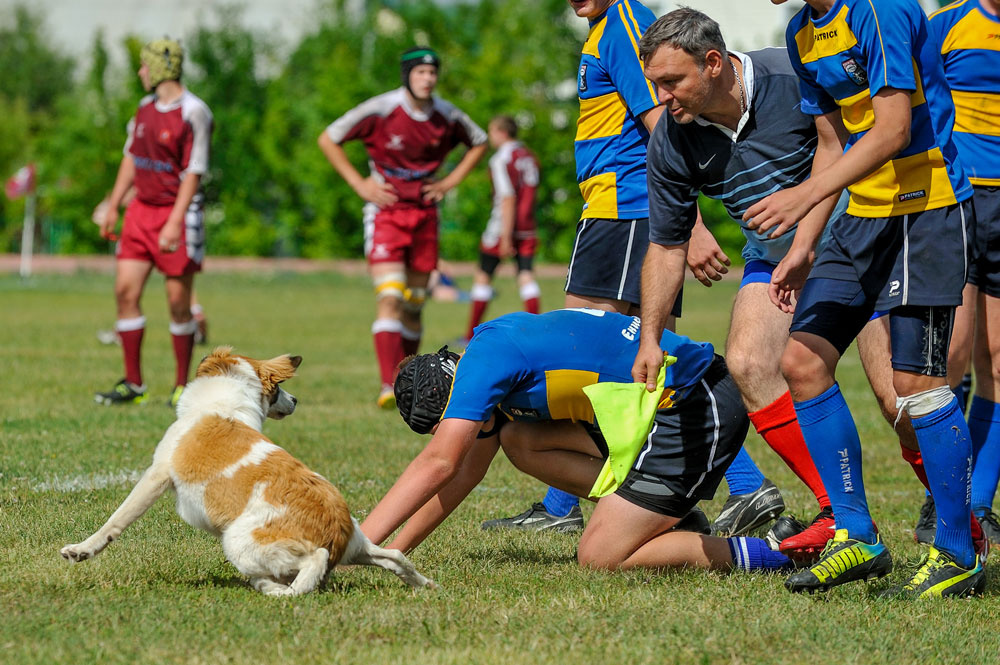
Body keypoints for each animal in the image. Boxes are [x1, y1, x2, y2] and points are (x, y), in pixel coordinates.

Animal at [61, 347, 435, 596]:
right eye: (279, 387)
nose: (296, 400)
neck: (222, 405)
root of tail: (338, 527)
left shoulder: (156, 476)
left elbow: (114, 521)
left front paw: (82, 550)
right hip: (359, 544)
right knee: (394, 556)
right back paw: (424, 584)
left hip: (239, 541)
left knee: (313, 562)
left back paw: (271, 588)